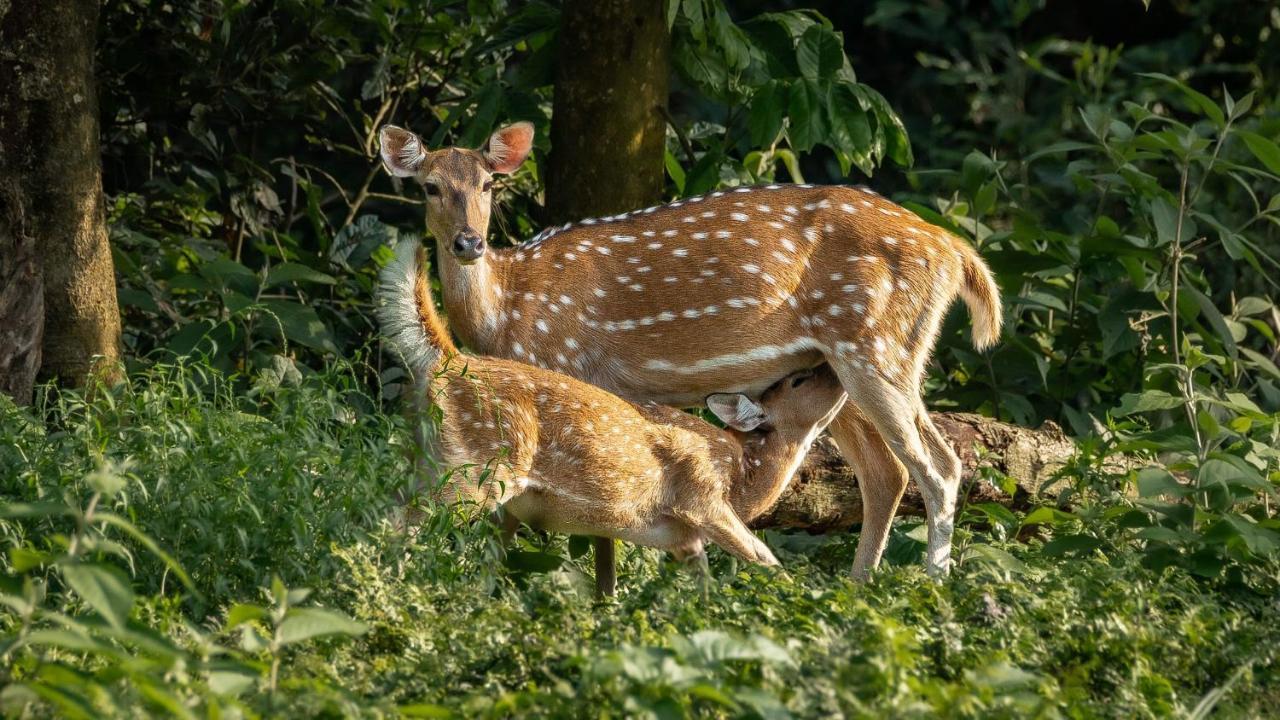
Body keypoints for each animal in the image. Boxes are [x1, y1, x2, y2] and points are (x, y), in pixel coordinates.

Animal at [373, 240, 844, 571]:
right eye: (799, 379)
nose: (832, 367)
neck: (741, 479)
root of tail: (448, 360)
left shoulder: (683, 540)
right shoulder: (702, 497)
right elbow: (769, 561)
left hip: (429, 455)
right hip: (475, 468)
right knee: (399, 522)